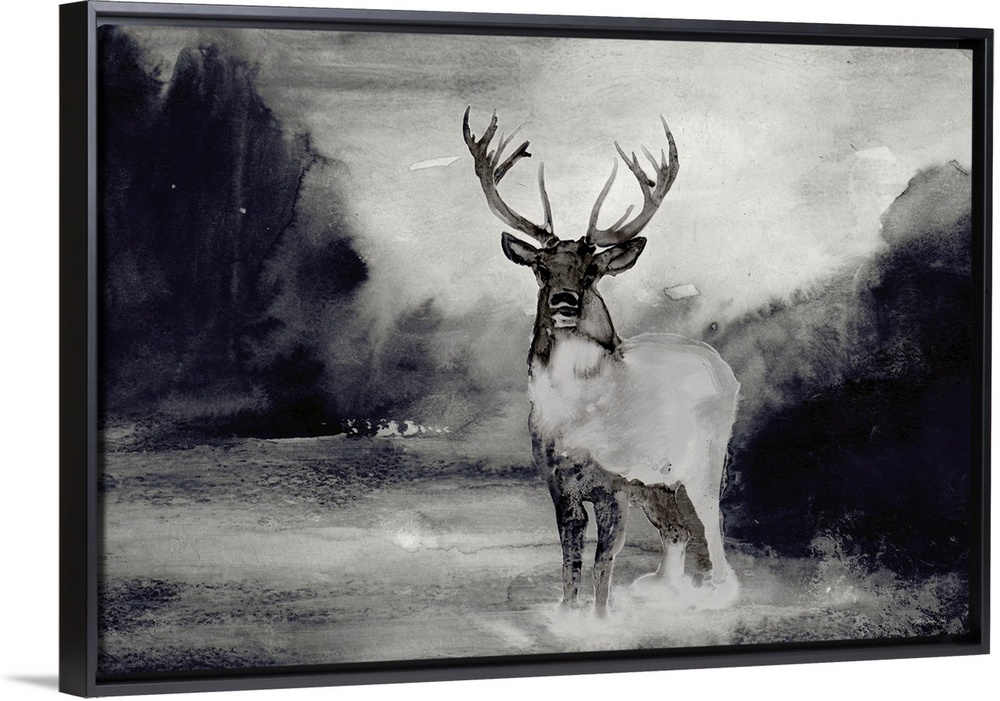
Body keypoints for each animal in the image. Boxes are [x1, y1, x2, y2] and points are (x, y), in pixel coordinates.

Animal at [463, 107, 740, 616]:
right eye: (540, 268)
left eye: (592, 270)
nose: (564, 302)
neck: (578, 419)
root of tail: (725, 370)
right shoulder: (559, 483)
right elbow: (570, 560)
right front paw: (568, 614)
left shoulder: (615, 484)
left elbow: (602, 563)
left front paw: (602, 617)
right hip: (656, 479)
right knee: (676, 530)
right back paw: (659, 589)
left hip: (707, 456)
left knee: (712, 520)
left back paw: (718, 592)